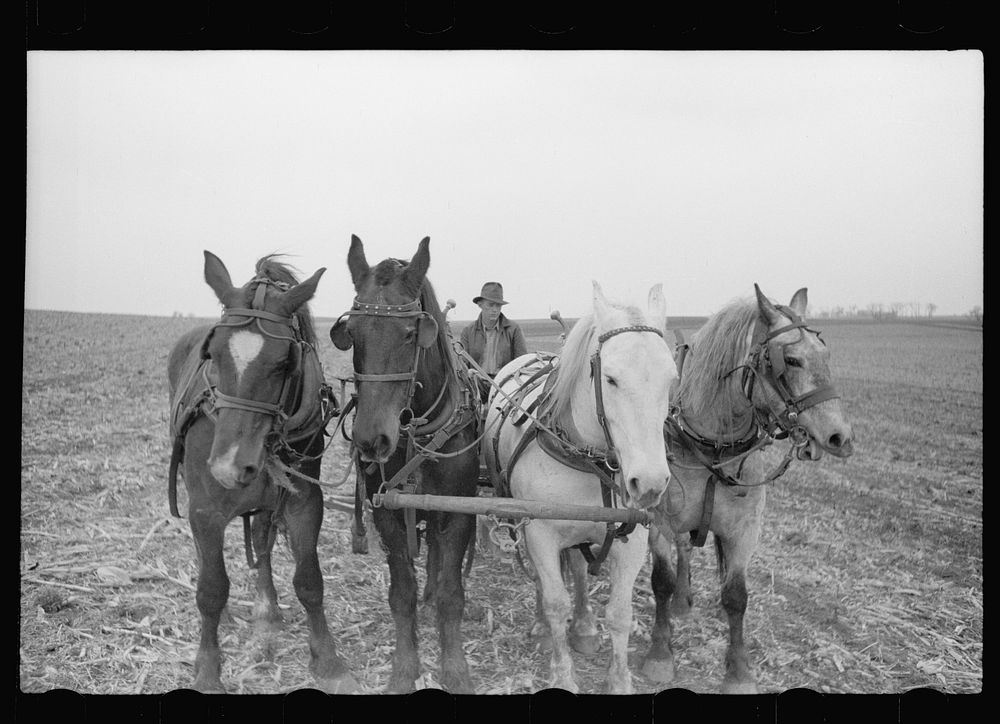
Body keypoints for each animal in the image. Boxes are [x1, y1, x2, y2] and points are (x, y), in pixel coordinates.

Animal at [168, 252, 360, 692]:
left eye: (285, 362)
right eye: (212, 354)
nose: (229, 466)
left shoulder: (304, 502)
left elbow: (309, 581)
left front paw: (328, 661)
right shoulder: (204, 509)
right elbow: (211, 589)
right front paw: (208, 670)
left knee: (262, 542)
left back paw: (267, 608)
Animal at [330, 235, 482, 692]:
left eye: (411, 332)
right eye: (352, 333)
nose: (370, 439)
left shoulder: (459, 513)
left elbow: (451, 591)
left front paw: (455, 668)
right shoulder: (387, 514)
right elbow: (401, 592)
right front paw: (404, 668)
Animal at [480, 280, 676, 692]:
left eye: (671, 378)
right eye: (611, 378)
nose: (650, 483)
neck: (591, 458)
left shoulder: (633, 537)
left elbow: (620, 612)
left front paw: (619, 680)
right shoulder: (540, 531)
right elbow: (556, 602)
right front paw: (563, 674)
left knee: (580, 568)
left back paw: (584, 627)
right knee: (544, 578)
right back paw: (541, 626)